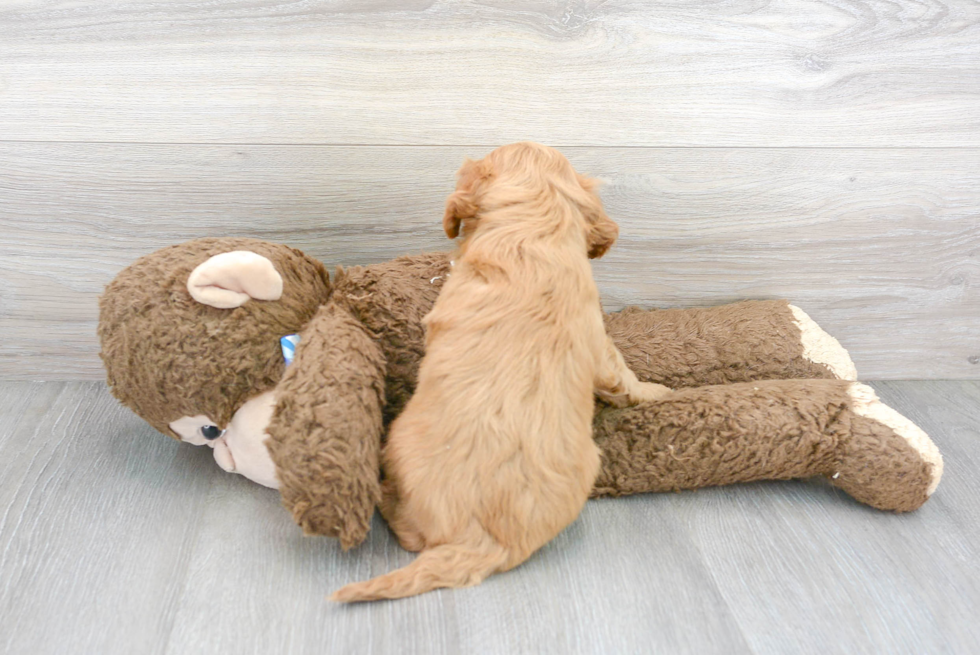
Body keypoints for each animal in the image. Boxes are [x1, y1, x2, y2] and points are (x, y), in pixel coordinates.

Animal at [334, 144, 668, 604]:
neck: (532, 234)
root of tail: (483, 543)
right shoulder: (597, 338)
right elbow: (621, 373)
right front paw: (660, 390)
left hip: (398, 442)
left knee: (409, 533)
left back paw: (383, 496)